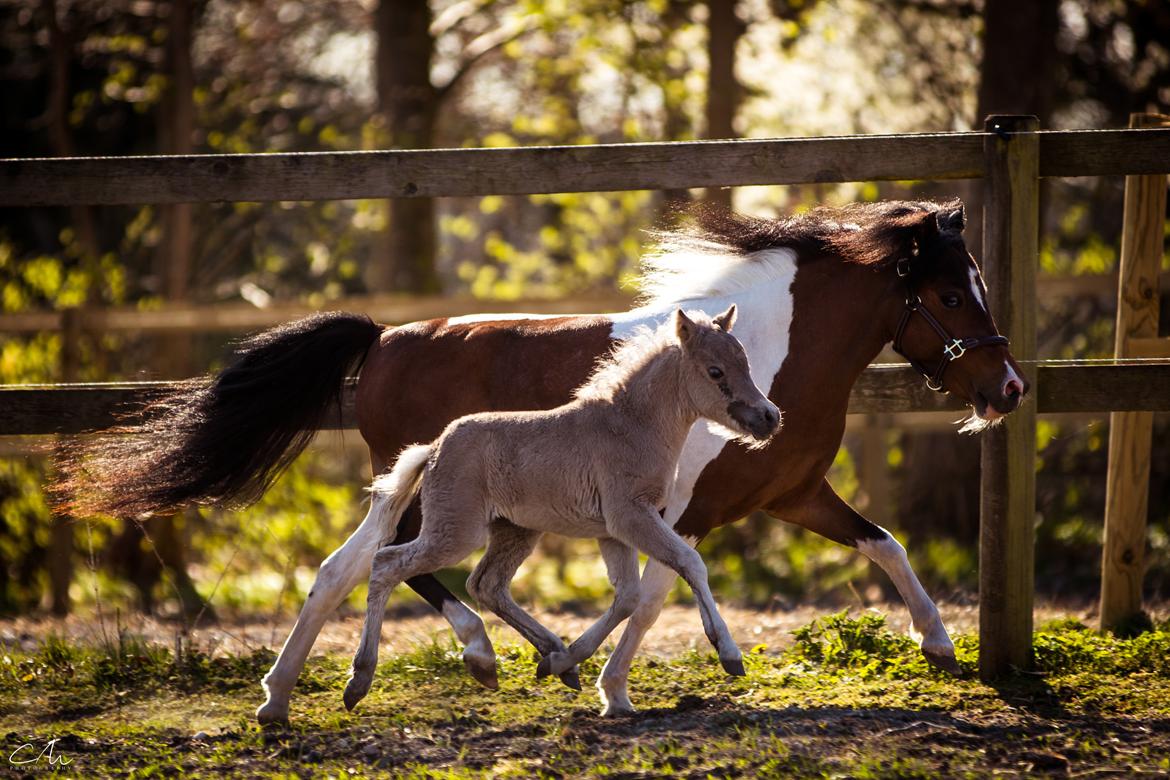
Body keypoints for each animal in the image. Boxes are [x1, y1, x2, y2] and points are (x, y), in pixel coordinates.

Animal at [57, 201, 1024, 725]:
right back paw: (473, 656)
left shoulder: (793, 494)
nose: (1009, 387)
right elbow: (655, 595)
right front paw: (608, 682)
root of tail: (385, 337)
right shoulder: (683, 512)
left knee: (346, 568)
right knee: (399, 570)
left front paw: (940, 645)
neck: (773, 351)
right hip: (431, 497)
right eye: (949, 293)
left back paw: (282, 695)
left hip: (419, 493)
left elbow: (883, 542)